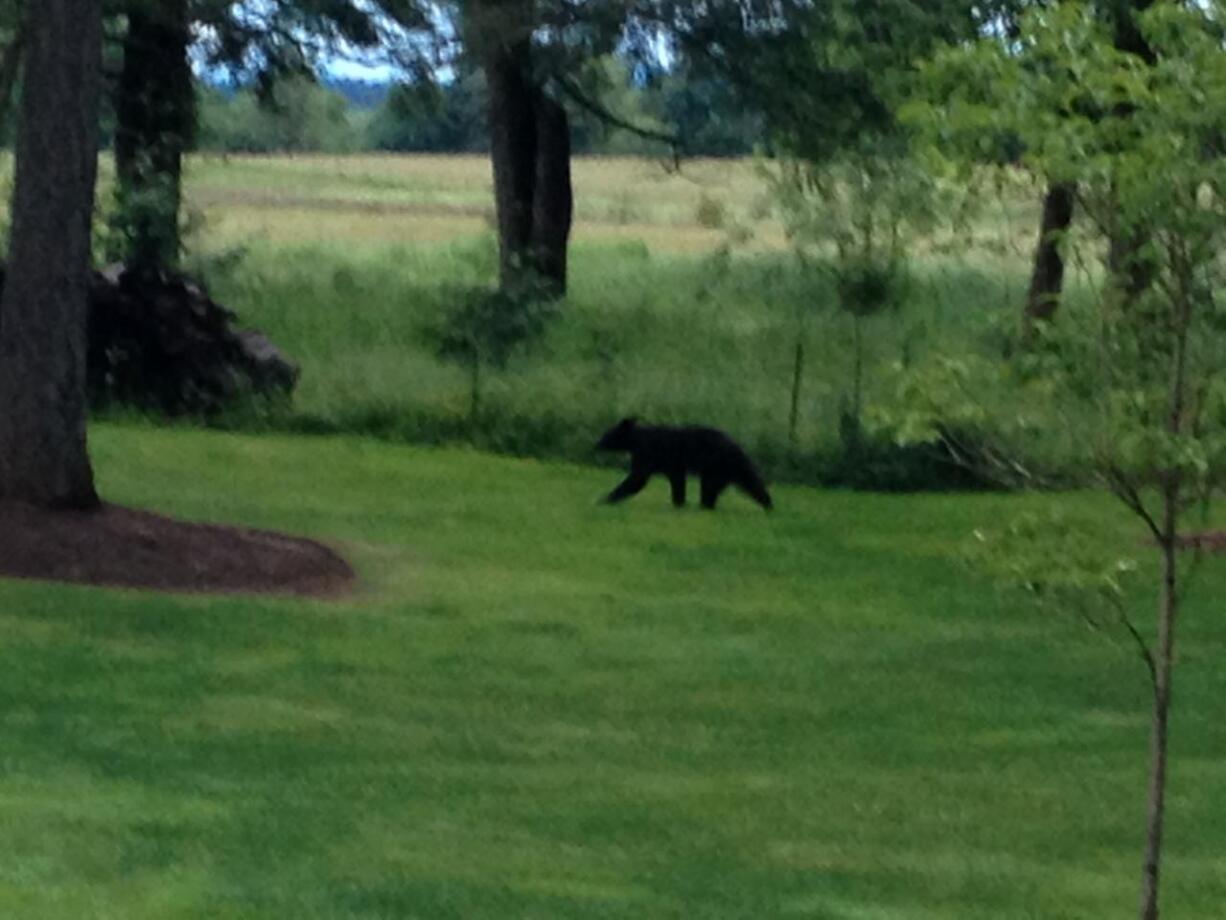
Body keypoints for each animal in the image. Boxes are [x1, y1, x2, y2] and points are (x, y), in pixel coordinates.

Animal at [595, 417, 774, 512]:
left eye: (606, 434)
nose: (597, 443)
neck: (636, 440)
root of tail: (738, 449)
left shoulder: (649, 453)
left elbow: (637, 479)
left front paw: (605, 498)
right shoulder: (672, 465)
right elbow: (677, 481)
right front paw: (679, 502)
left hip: (715, 466)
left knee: (709, 487)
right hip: (728, 470)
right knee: (750, 483)